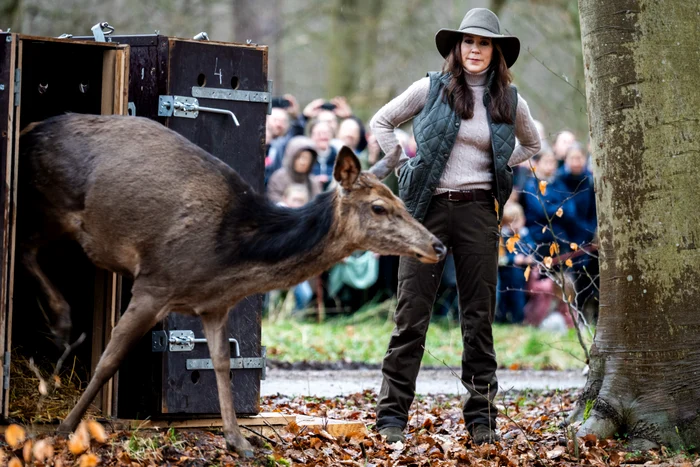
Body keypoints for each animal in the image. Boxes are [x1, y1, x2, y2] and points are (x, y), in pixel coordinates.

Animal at [19, 114, 446, 460]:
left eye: (400, 201)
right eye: (379, 207)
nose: (437, 245)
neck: (230, 257)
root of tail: (30, 128)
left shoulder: (214, 305)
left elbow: (222, 364)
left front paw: (238, 440)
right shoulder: (155, 282)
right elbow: (109, 359)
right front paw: (64, 427)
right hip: (55, 203)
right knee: (25, 246)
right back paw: (61, 323)